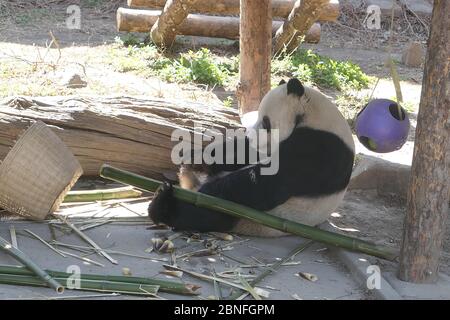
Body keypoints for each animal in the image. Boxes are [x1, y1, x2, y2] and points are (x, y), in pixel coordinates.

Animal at [149, 78, 356, 236]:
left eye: (266, 122)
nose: (252, 136)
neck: (312, 114)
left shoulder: (320, 149)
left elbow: (270, 182)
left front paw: (209, 189)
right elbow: (245, 152)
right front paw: (198, 158)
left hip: (254, 216)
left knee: (207, 213)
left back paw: (163, 205)